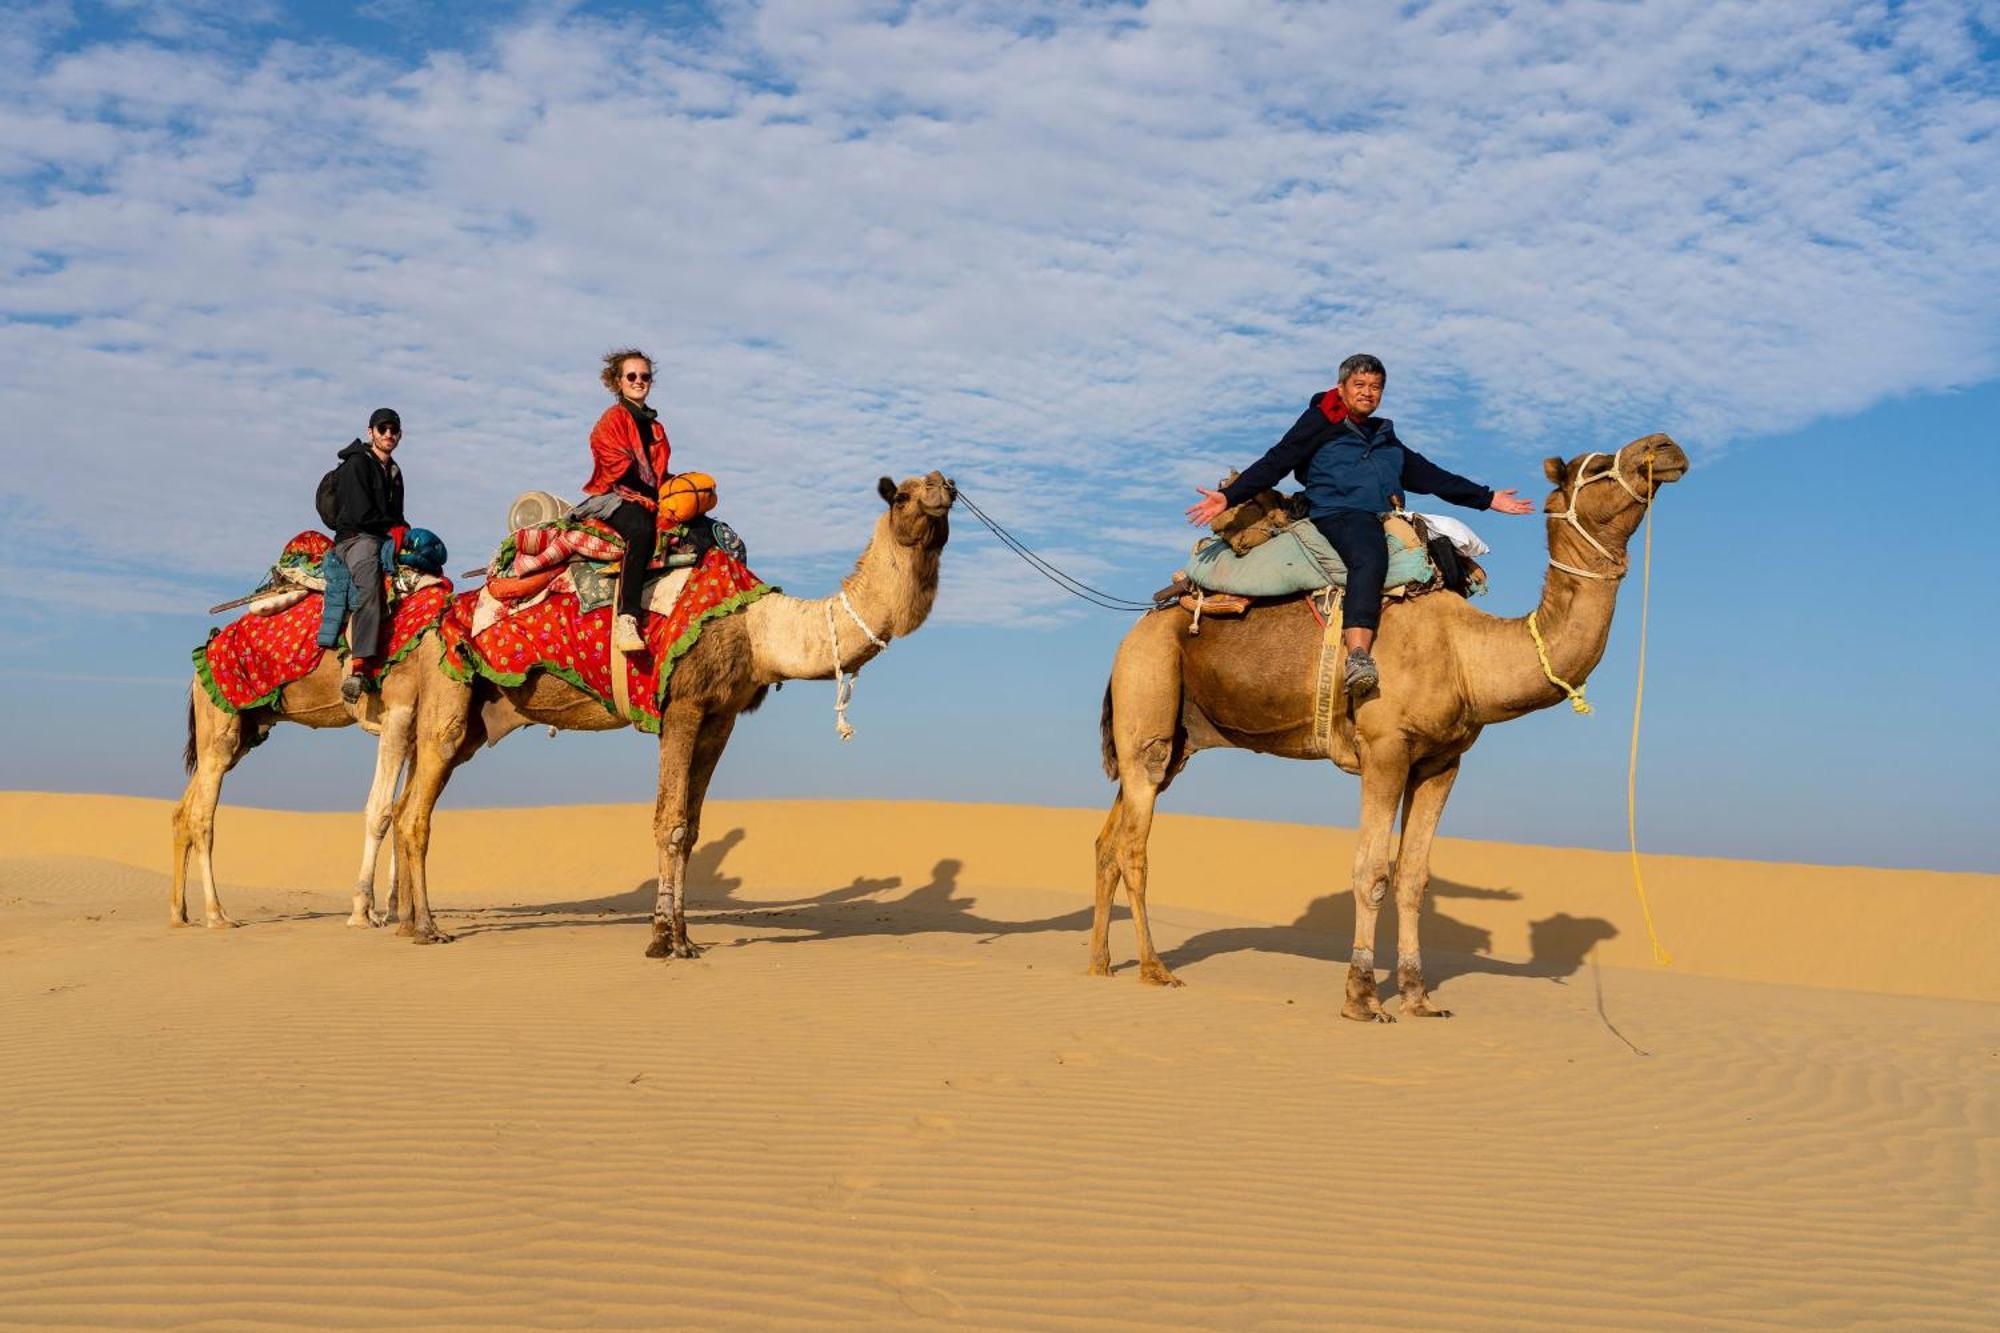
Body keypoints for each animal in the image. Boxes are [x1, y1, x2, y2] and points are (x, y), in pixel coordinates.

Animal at [173, 644, 442, 924]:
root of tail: (196, 675)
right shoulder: (399, 710)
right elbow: (384, 812)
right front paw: (365, 913)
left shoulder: (415, 729)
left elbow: (403, 811)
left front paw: (394, 912)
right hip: (219, 719)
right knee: (201, 816)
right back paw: (216, 915)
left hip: (243, 731)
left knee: (184, 810)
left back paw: (179, 915)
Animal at [386, 472, 956, 948]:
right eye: (902, 495)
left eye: (937, 482)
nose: (944, 486)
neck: (756, 628)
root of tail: (433, 621)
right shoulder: (681, 705)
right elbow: (670, 822)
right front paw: (664, 940)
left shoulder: (720, 716)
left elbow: (694, 828)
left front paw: (684, 936)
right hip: (448, 684)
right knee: (416, 813)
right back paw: (429, 929)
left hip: (474, 717)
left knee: (407, 802)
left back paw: (409, 924)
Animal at [1096, 436, 1688, 1016]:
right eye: (1601, 463)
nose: (1665, 447)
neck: (1466, 653)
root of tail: (1138, 625)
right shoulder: (1383, 748)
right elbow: (1372, 871)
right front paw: (1361, 995)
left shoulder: (1441, 761)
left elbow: (1413, 878)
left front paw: (1417, 996)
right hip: (1148, 685)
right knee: (1135, 844)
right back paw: (1153, 969)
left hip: (1177, 735)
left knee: (1111, 837)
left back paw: (1100, 964)